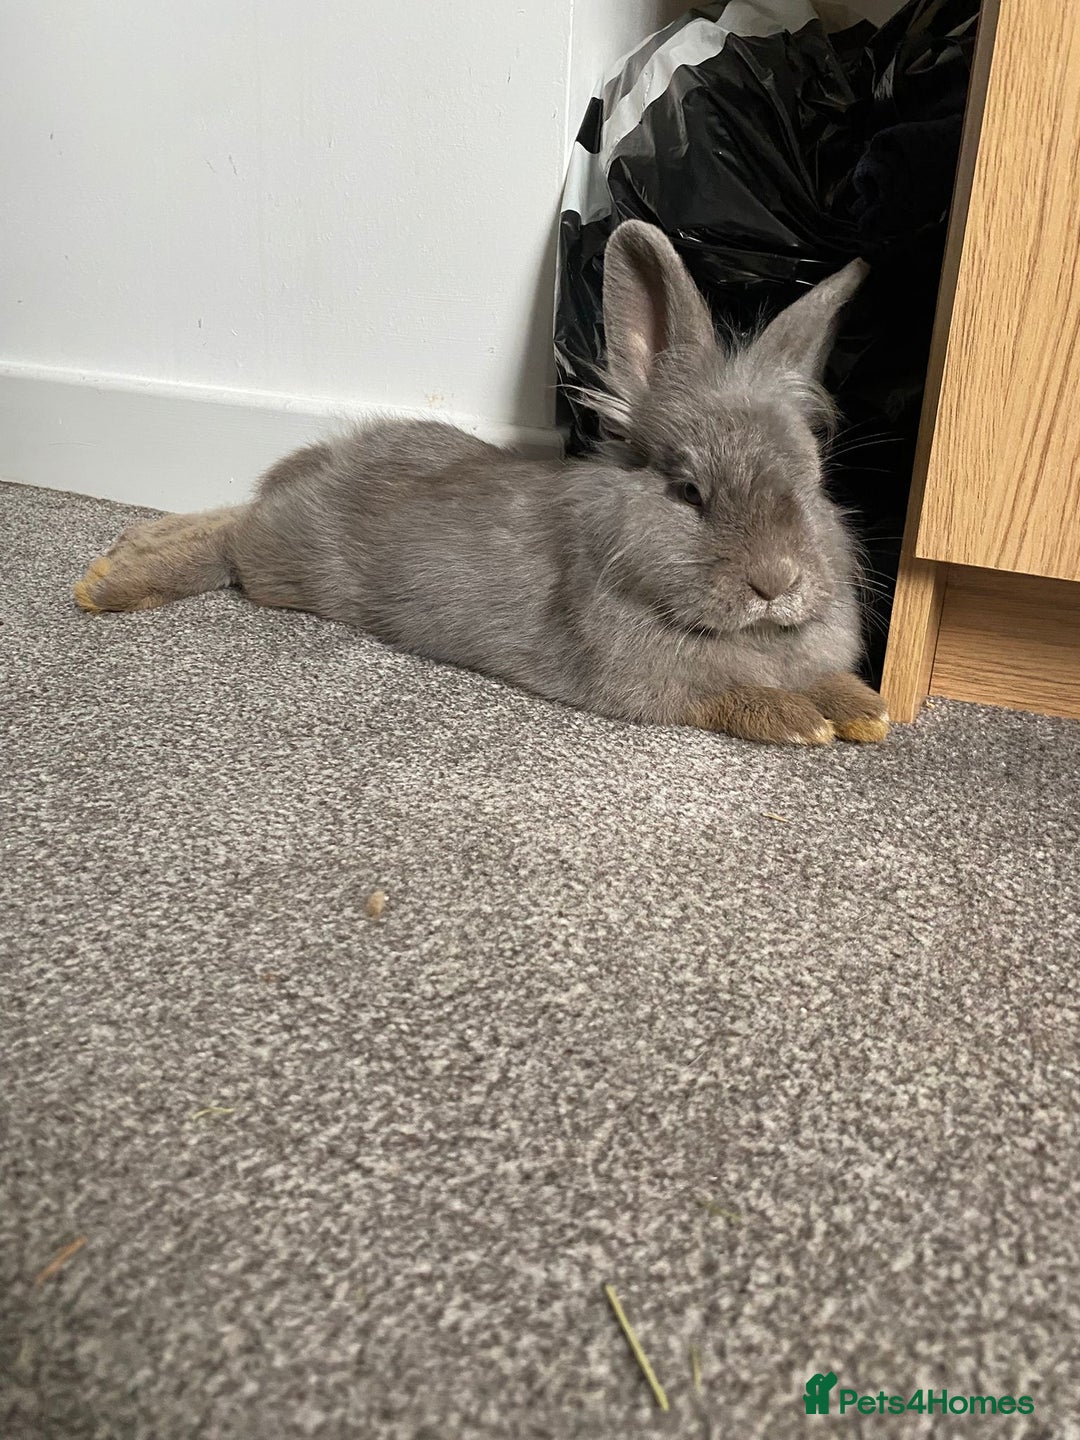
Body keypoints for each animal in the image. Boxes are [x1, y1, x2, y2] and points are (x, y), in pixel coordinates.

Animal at [73, 220, 888, 746]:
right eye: (689, 491)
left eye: (814, 483)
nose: (777, 581)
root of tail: (326, 464)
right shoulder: (658, 683)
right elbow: (734, 695)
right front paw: (803, 722)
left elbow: (830, 679)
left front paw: (866, 709)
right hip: (292, 566)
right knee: (235, 538)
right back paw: (111, 583)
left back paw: (127, 547)